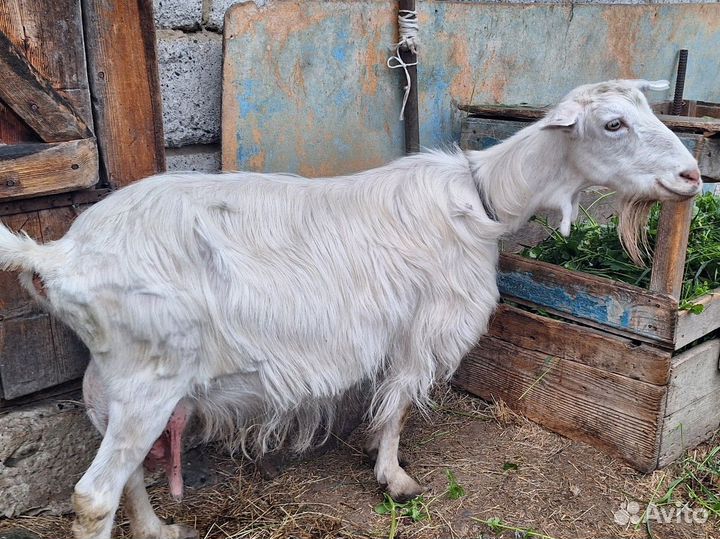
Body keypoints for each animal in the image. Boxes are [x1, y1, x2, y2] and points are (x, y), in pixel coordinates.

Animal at [0, 80, 702, 539]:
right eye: (612, 124)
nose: (693, 177)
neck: (480, 200)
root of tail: (58, 254)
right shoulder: (422, 326)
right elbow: (399, 403)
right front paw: (394, 478)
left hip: (113, 377)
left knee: (126, 473)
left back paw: (158, 529)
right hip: (151, 374)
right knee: (94, 495)